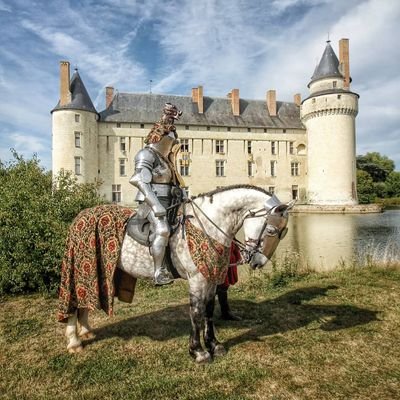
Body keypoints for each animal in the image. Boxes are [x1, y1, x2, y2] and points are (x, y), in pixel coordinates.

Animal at [65, 186, 294, 364]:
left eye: (284, 233)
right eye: (272, 231)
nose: (258, 262)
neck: (207, 225)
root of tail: (80, 216)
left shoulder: (210, 278)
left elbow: (209, 310)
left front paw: (214, 345)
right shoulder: (197, 279)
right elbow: (196, 312)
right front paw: (198, 351)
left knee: (85, 302)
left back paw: (86, 331)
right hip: (80, 269)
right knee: (74, 304)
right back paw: (74, 341)